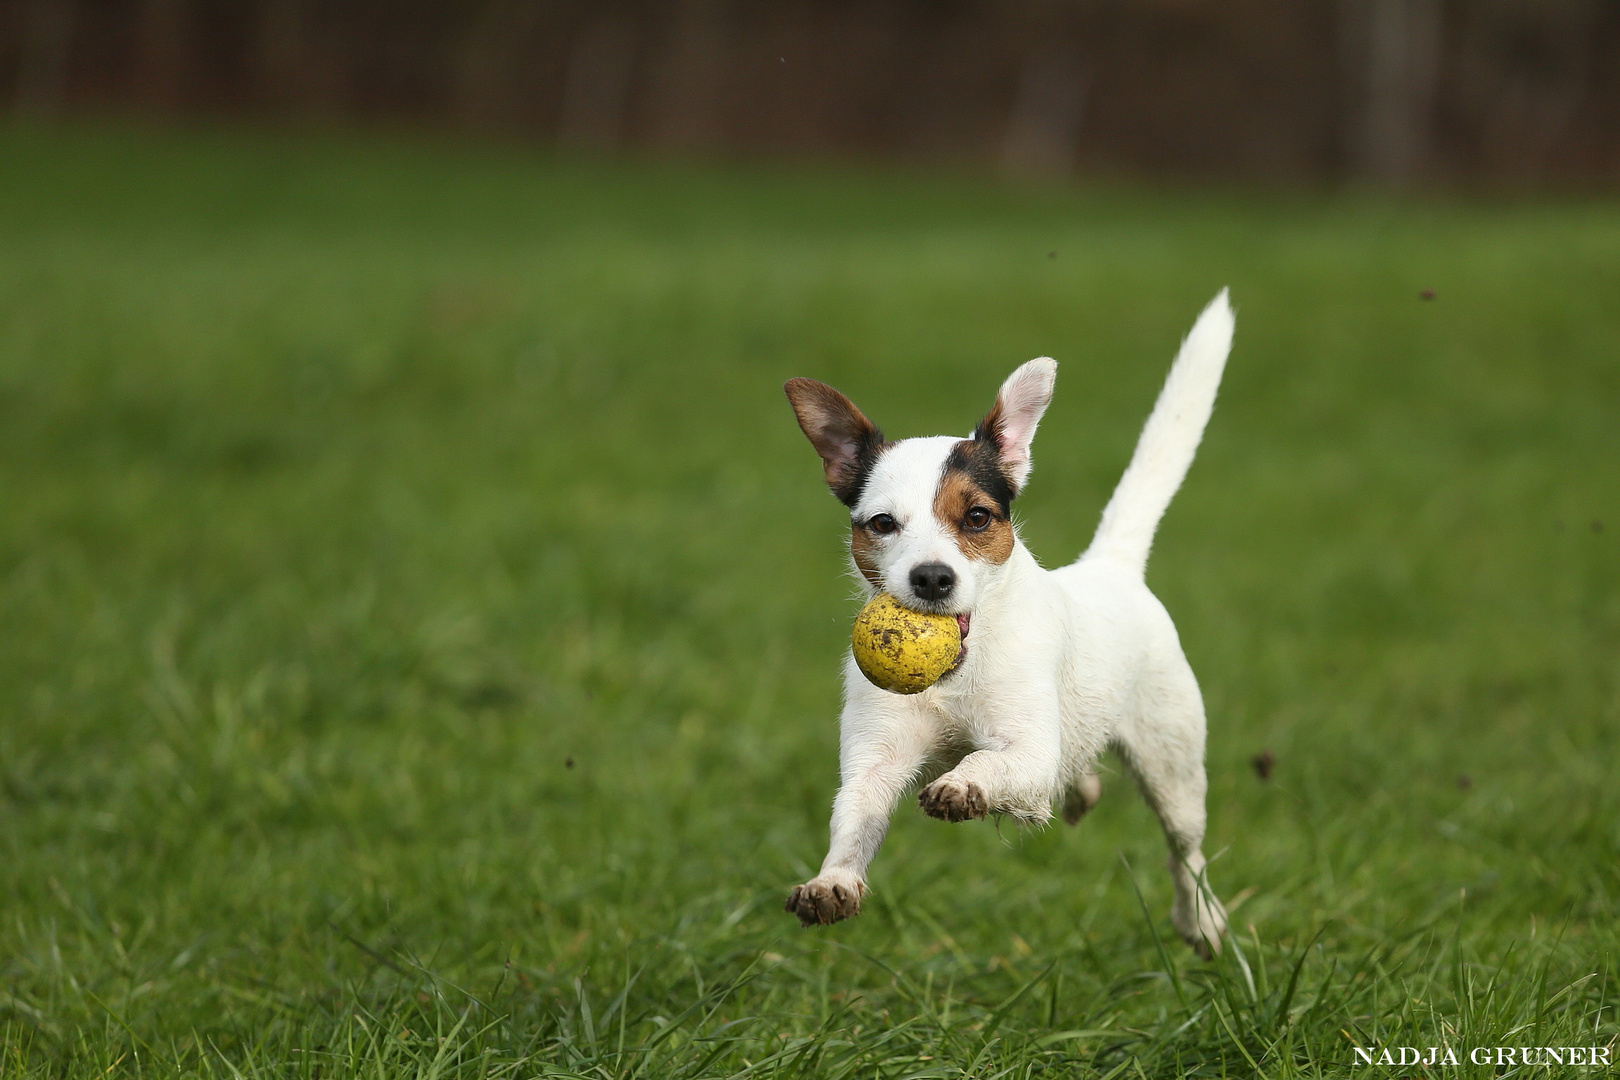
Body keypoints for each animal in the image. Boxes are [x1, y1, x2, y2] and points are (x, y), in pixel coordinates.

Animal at [777, 289, 1231, 952]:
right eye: (882, 523)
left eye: (977, 517)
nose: (932, 578)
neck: (957, 672)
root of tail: (1112, 566)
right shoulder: (876, 754)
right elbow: (855, 816)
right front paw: (831, 881)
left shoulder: (1030, 751)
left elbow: (991, 762)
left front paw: (964, 785)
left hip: (1171, 760)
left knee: (1184, 850)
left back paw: (1200, 919)